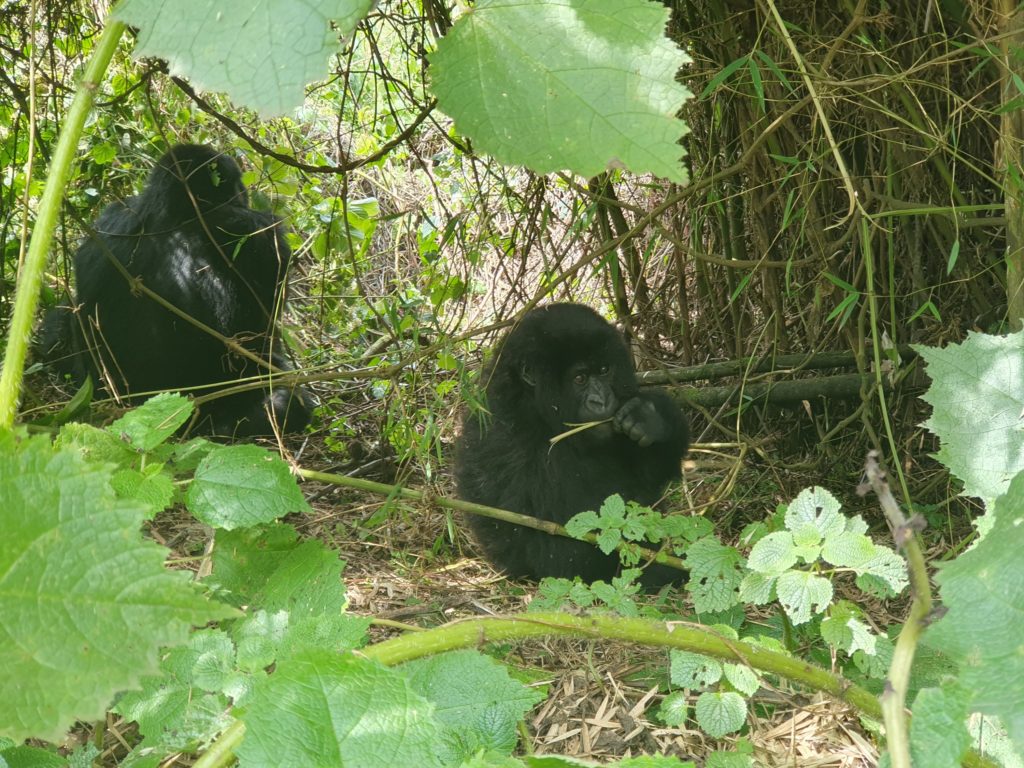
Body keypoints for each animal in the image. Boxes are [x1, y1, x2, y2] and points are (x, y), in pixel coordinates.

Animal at [458, 303, 692, 585]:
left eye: (604, 371)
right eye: (580, 379)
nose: (601, 400)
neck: (535, 405)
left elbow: (651, 477)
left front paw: (650, 417)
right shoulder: (517, 440)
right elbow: (567, 546)